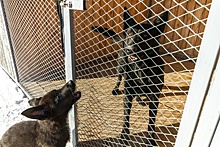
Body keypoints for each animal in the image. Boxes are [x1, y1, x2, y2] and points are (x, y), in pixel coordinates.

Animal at [92, 7, 168, 146]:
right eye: (131, 33)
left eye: (145, 35)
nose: (130, 49)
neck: (141, 67)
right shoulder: (127, 96)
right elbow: (126, 118)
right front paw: (124, 136)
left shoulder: (154, 99)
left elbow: (151, 123)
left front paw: (151, 140)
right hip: (121, 66)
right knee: (119, 78)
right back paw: (116, 89)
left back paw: (139, 98)